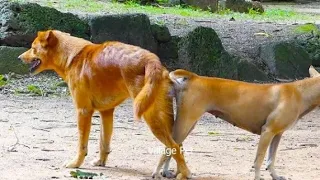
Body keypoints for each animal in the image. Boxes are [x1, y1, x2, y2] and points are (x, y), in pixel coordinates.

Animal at [18, 30, 190, 179]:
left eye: (33, 48)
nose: (19, 57)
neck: (72, 56)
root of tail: (152, 60)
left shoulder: (83, 111)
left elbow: (82, 145)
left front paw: (76, 163)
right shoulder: (106, 112)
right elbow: (103, 143)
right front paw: (101, 162)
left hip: (151, 118)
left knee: (174, 146)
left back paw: (185, 174)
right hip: (165, 117)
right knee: (179, 145)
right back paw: (176, 172)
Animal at [154, 68, 320, 179]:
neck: (301, 92)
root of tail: (193, 77)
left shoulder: (277, 134)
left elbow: (271, 160)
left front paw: (275, 176)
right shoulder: (267, 131)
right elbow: (259, 160)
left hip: (187, 125)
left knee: (173, 147)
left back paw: (167, 172)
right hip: (186, 123)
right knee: (169, 147)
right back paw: (156, 173)